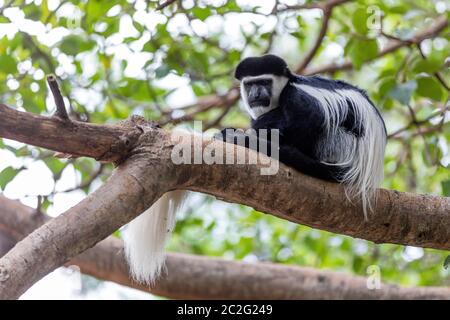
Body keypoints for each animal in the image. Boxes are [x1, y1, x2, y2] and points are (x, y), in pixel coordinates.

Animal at [122, 53, 386, 284]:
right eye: (250, 84)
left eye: (265, 82)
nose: (256, 93)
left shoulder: (300, 95)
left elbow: (311, 115)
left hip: (340, 144)